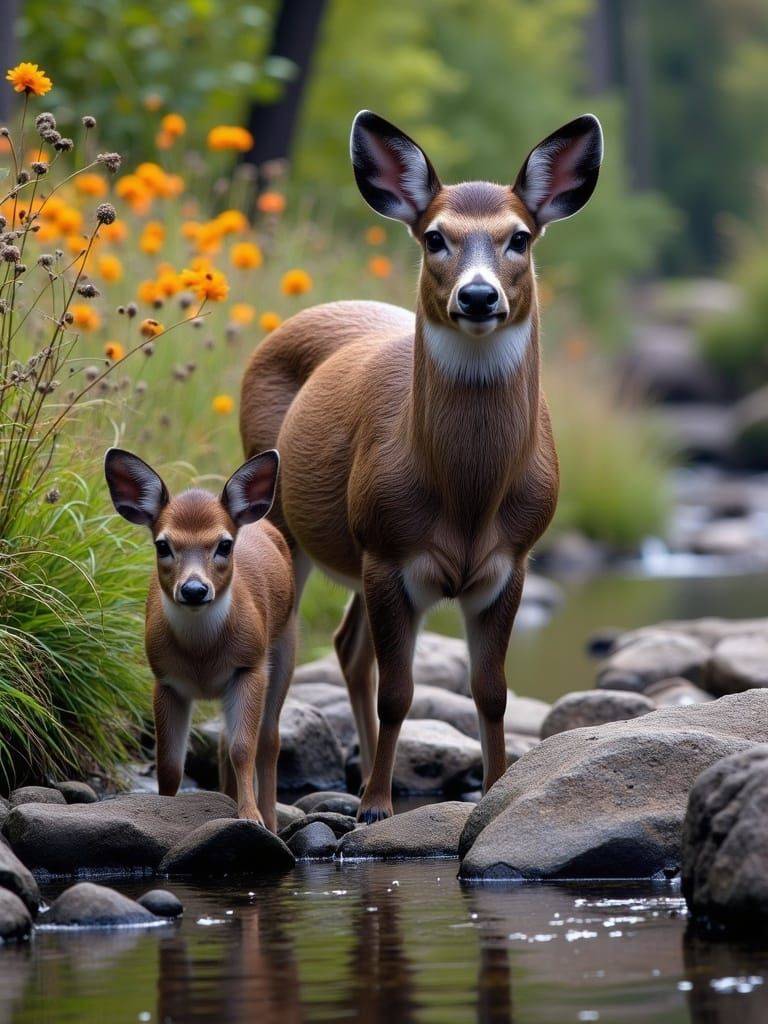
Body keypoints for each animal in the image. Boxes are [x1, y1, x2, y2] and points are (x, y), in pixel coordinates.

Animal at [104, 447, 295, 832]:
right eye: (162, 545)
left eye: (224, 544)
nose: (194, 589)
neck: (202, 658)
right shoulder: (165, 680)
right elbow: (169, 763)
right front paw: (161, 810)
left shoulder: (249, 666)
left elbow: (244, 748)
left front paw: (250, 817)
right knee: (223, 741)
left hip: (284, 646)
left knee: (268, 739)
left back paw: (270, 820)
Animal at [240, 110, 603, 823]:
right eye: (436, 237)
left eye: (519, 237)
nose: (479, 295)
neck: (466, 497)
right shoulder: (388, 554)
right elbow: (399, 691)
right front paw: (377, 807)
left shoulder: (511, 560)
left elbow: (491, 690)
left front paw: (492, 793)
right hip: (286, 523)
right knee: (283, 671)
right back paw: (270, 813)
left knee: (347, 649)